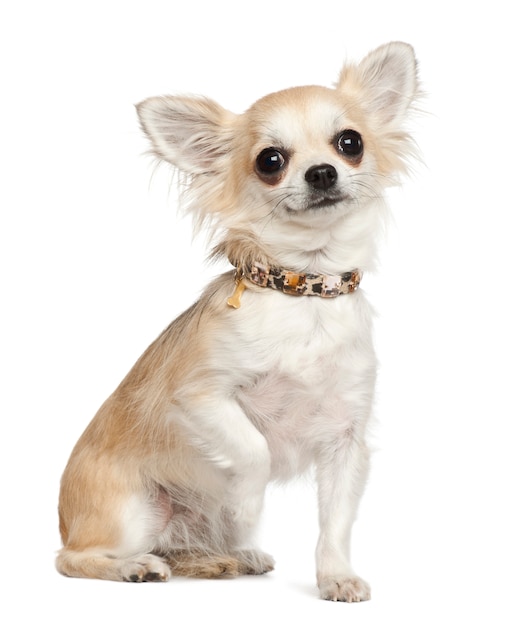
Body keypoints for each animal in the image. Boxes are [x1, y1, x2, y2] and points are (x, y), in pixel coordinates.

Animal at [57, 40, 420, 600]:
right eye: (270, 161)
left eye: (350, 142)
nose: (322, 172)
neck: (304, 292)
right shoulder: (199, 397)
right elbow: (254, 451)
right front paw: (248, 504)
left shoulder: (345, 439)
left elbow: (335, 522)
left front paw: (336, 575)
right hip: (132, 511)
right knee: (74, 559)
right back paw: (135, 566)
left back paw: (231, 556)